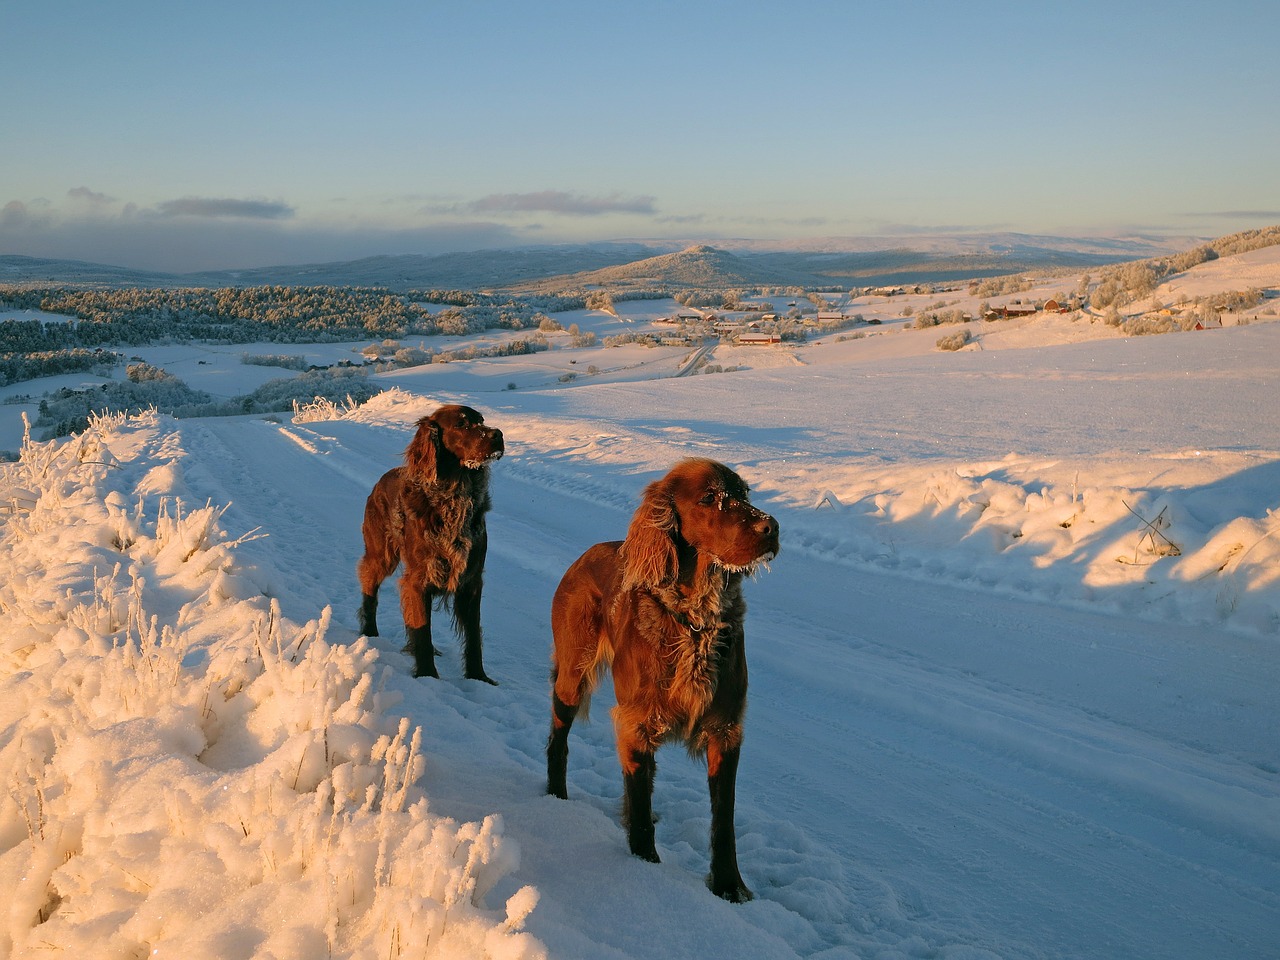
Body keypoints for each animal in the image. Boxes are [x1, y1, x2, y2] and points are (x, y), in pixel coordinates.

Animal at [360, 407, 504, 686]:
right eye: (461, 424)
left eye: (481, 420)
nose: (498, 434)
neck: (454, 499)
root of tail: (380, 480)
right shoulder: (419, 579)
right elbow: (423, 631)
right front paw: (427, 674)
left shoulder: (471, 581)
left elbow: (473, 636)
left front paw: (478, 678)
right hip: (381, 556)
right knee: (368, 584)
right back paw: (369, 632)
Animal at [542, 458, 778, 901]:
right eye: (708, 497)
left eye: (745, 494)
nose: (771, 526)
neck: (697, 622)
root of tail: (586, 554)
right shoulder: (636, 723)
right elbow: (639, 803)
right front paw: (645, 867)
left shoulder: (725, 731)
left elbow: (724, 822)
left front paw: (728, 886)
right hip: (572, 675)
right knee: (557, 739)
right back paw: (556, 799)